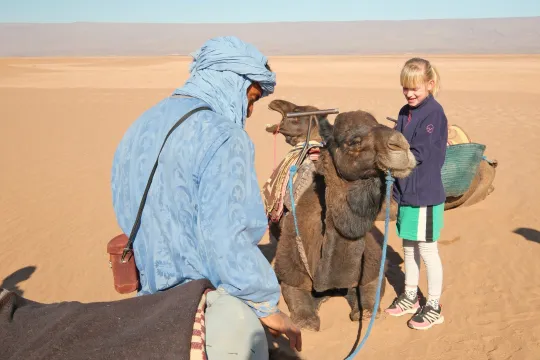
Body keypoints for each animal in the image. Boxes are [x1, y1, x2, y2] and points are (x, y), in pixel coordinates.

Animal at [270, 105, 418, 330]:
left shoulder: (372, 273)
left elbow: (368, 307)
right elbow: (305, 319)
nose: (401, 146)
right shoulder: (290, 274)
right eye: (352, 141)